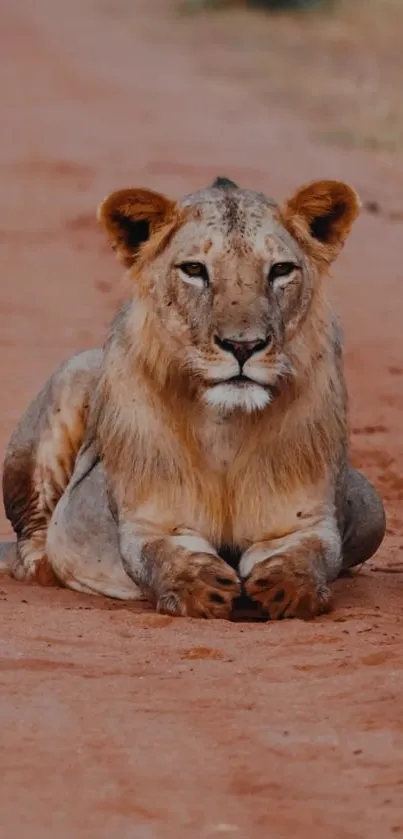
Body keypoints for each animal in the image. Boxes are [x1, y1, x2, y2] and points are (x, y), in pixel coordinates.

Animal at [0, 176, 386, 616]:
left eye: (280, 270)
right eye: (195, 270)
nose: (243, 345)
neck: (227, 424)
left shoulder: (303, 520)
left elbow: (307, 554)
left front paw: (290, 588)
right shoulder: (152, 520)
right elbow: (166, 553)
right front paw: (199, 588)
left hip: (371, 506)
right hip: (70, 377)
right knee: (30, 533)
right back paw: (45, 564)